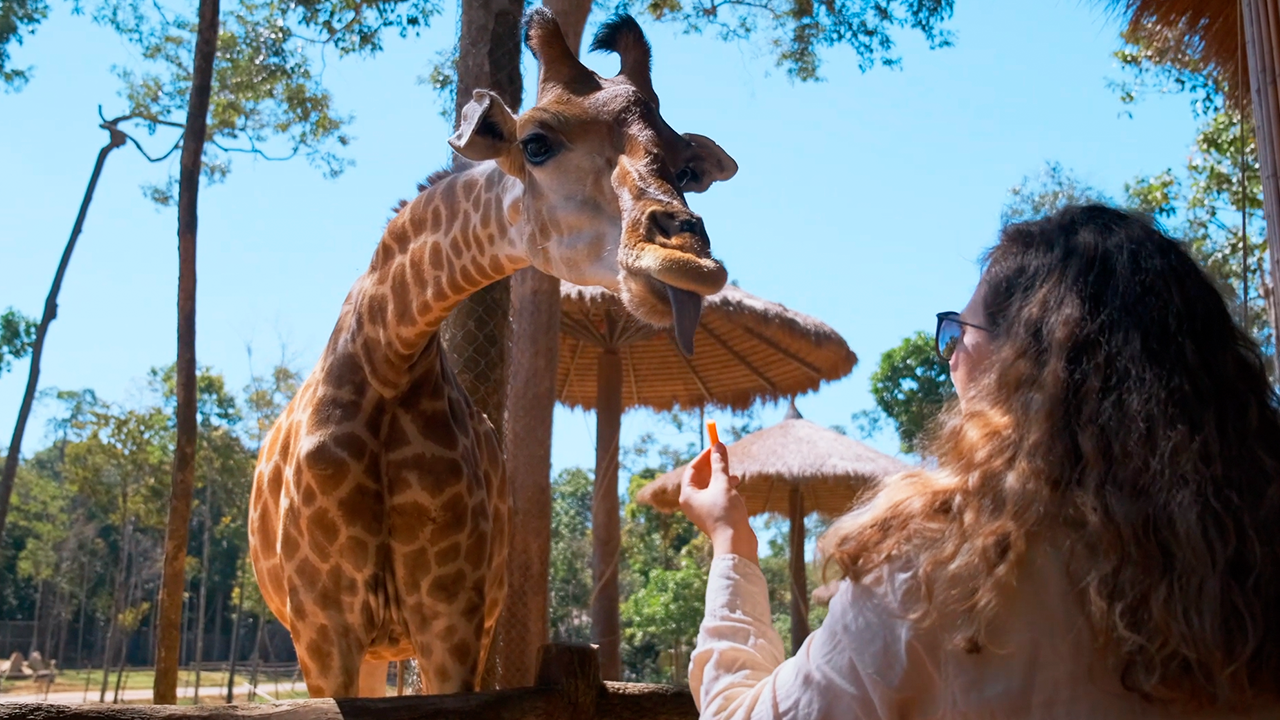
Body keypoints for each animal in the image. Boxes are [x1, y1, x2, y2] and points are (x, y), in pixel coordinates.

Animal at [248, 8, 738, 699]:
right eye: (536, 143)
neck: (387, 363)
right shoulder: (324, 627)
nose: (688, 259)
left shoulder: (453, 619)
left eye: (686, 169)